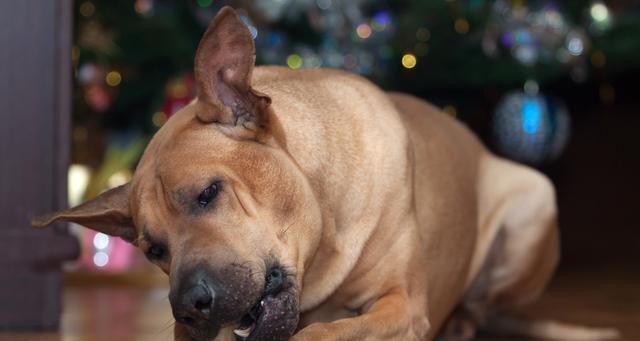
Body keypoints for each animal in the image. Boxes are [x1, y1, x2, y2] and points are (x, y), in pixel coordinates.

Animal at [31, 5, 620, 340]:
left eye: (208, 193)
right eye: (153, 249)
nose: (188, 309)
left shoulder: (401, 306)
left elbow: (323, 335)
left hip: (534, 197)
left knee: (485, 307)